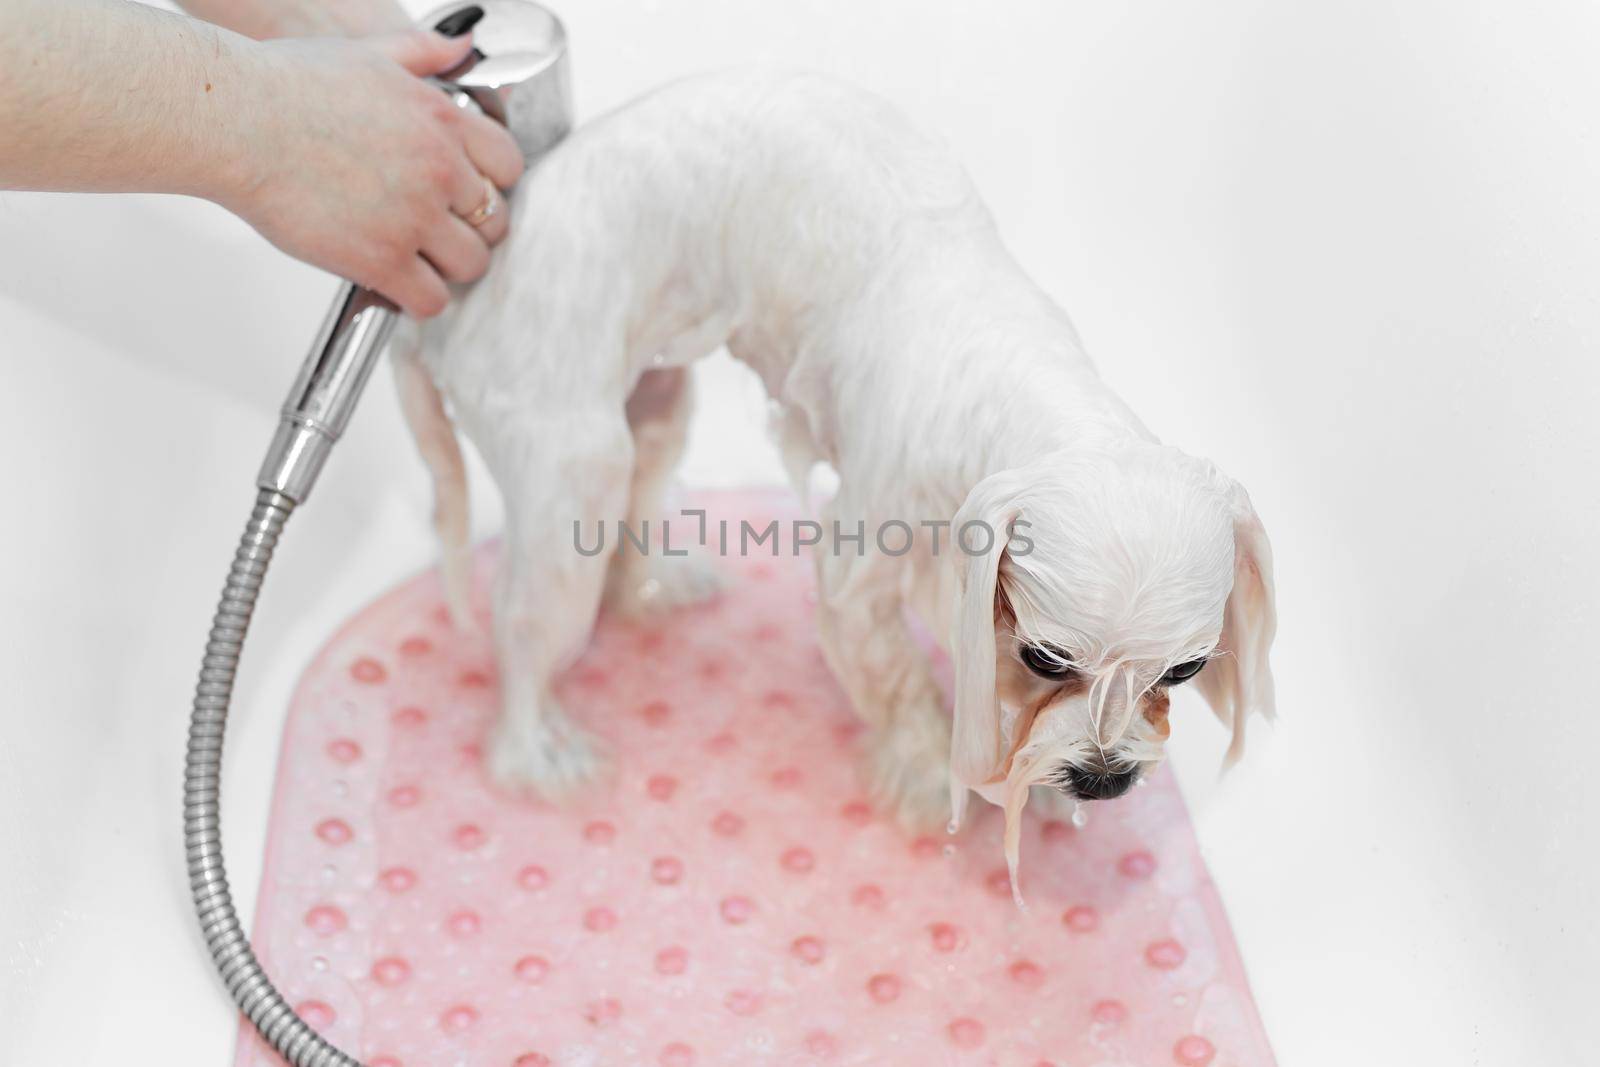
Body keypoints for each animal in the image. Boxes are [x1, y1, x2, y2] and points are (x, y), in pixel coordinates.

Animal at [393, 70, 1280, 870]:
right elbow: (895, 673)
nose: (1103, 777)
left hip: (654, 396)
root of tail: (452, 299)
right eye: (1045, 657)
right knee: (525, 626)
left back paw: (653, 589)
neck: (1007, 382)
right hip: (569, 452)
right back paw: (535, 759)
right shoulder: (866, 548)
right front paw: (924, 776)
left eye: (1186, 668)